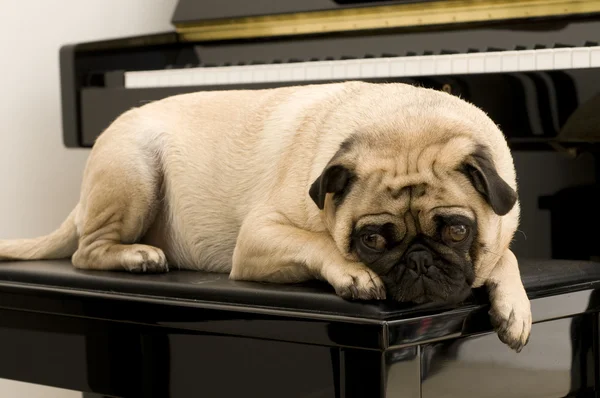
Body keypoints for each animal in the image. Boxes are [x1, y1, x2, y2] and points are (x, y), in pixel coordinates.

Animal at [2, 81, 532, 352]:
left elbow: (507, 257)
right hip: (132, 171)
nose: (419, 260)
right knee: (86, 252)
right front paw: (354, 274)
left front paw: (515, 306)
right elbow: (320, 242)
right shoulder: (258, 237)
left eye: (458, 230)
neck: (406, 122)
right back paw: (137, 256)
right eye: (372, 240)